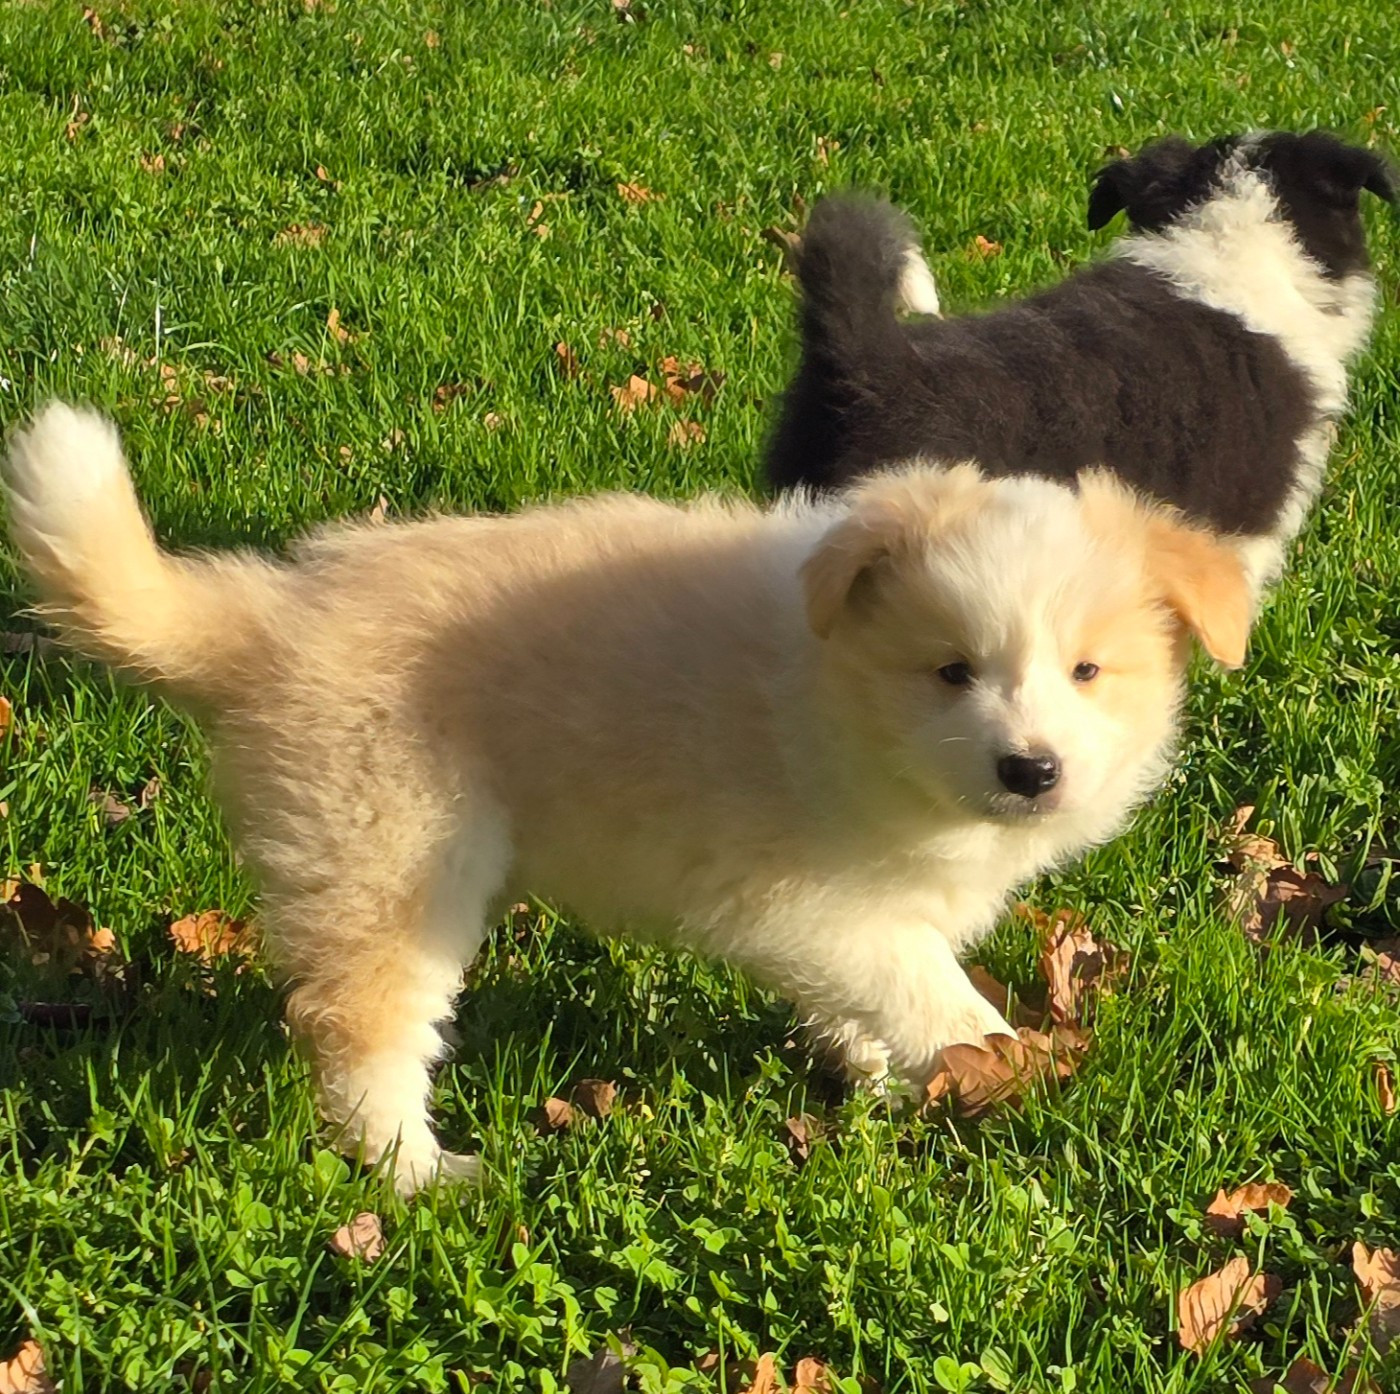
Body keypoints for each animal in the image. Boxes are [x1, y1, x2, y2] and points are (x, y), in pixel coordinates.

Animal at [4, 403, 1249, 1192]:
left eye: (1086, 670)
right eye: (950, 670)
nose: (1028, 769)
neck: (841, 695)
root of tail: (268, 621)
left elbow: (874, 997)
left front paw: (886, 1081)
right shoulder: (803, 899)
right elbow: (922, 985)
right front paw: (999, 1060)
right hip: (392, 860)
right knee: (364, 1027)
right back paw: (421, 1174)